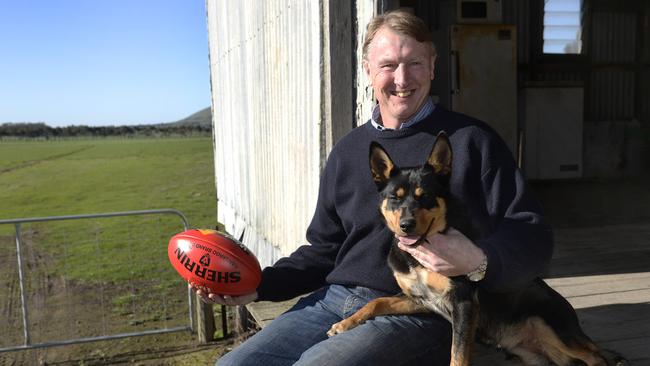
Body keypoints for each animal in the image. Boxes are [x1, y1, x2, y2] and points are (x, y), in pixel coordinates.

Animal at [324, 134, 624, 366]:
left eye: (426, 197)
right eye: (394, 198)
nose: (407, 226)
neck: (420, 257)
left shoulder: (464, 305)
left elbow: (457, 356)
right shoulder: (418, 300)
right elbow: (377, 302)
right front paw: (345, 323)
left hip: (550, 327)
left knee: (597, 358)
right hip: (535, 356)